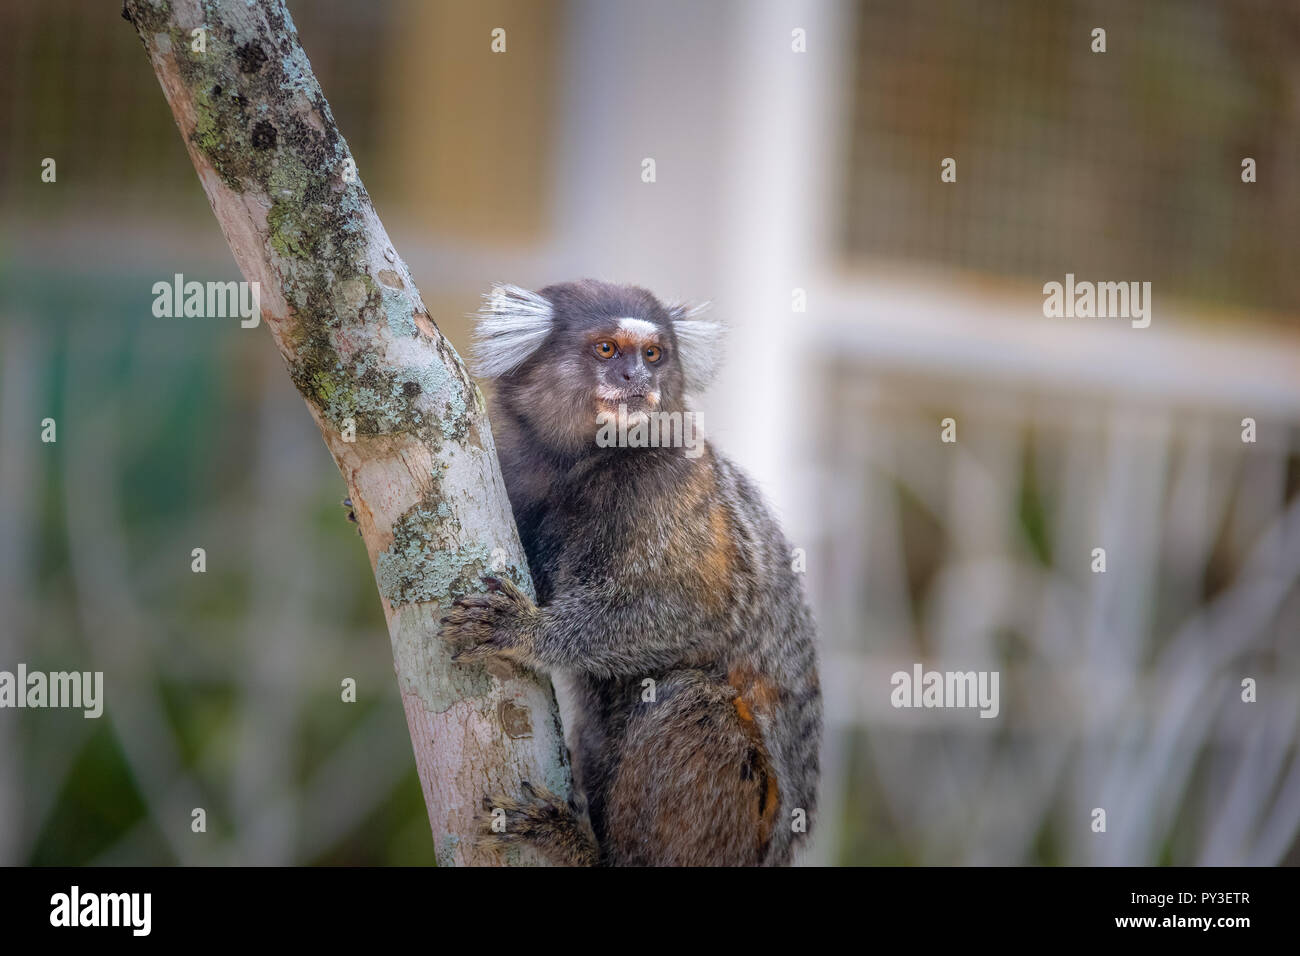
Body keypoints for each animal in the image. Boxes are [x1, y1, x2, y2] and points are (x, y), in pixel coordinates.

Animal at [436, 277, 821, 868]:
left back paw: (580, 847)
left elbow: (695, 612)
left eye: (654, 354)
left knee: (691, 701)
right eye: (607, 350)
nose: (637, 379)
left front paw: (524, 632)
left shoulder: (669, 482)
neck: (583, 465)